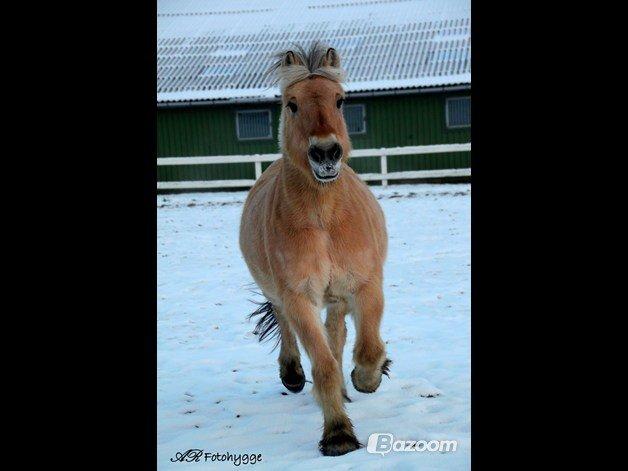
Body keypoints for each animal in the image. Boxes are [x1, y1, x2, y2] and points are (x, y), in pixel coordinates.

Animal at [239, 43, 390, 458]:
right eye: (292, 104)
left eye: (339, 100)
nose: (326, 153)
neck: (324, 220)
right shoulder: (300, 298)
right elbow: (322, 364)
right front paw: (338, 434)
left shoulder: (365, 287)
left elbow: (367, 348)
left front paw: (367, 378)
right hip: (281, 294)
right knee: (288, 326)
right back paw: (292, 375)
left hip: (336, 299)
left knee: (337, 335)